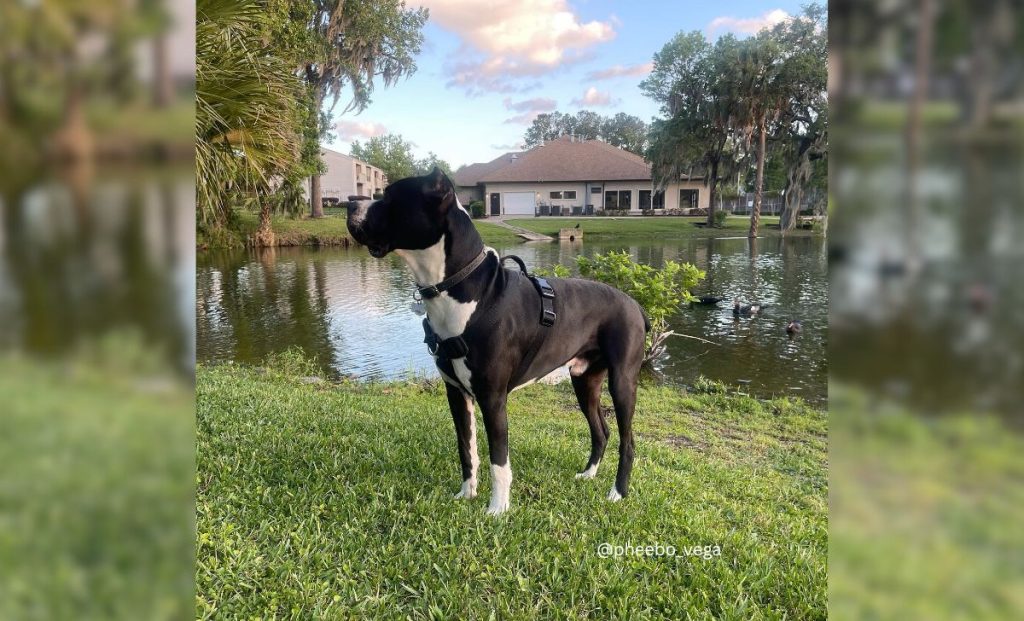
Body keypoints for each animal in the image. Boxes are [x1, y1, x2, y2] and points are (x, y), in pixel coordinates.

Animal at [346, 169, 647, 516]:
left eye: (390, 197)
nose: (349, 203)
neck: (460, 288)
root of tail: (635, 305)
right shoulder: (456, 393)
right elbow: (467, 449)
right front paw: (467, 494)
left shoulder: (492, 398)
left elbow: (498, 459)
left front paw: (497, 510)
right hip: (584, 380)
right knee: (601, 430)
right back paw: (588, 474)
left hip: (622, 382)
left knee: (628, 441)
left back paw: (618, 492)